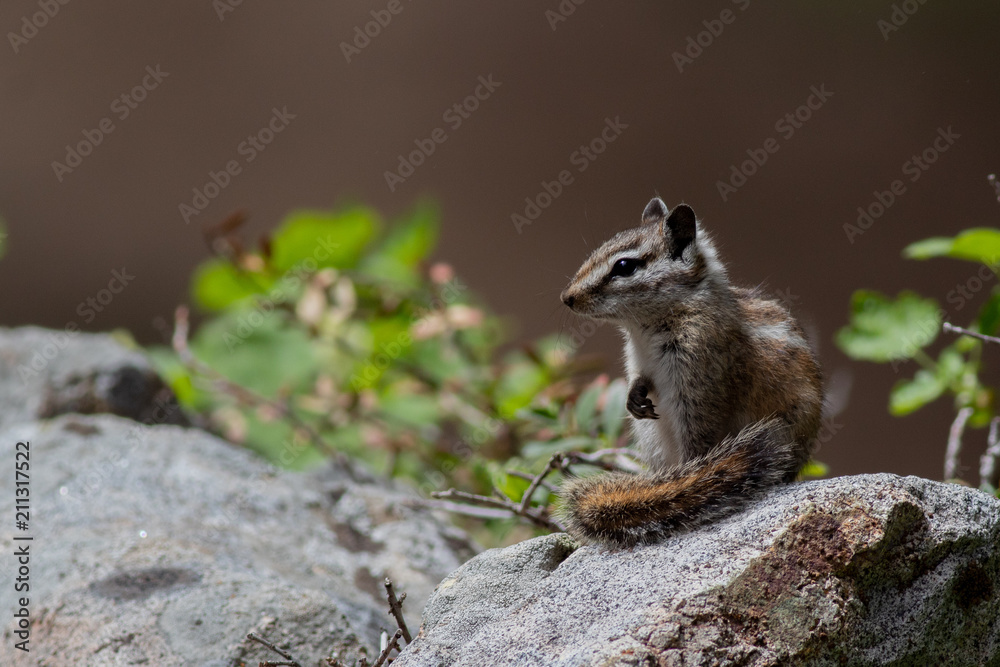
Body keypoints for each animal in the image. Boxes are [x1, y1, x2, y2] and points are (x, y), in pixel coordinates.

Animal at [558, 197, 824, 548]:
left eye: (625, 266)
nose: (567, 298)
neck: (644, 330)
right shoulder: (637, 360)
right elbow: (639, 380)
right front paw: (634, 396)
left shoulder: (697, 386)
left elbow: (698, 447)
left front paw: (691, 481)